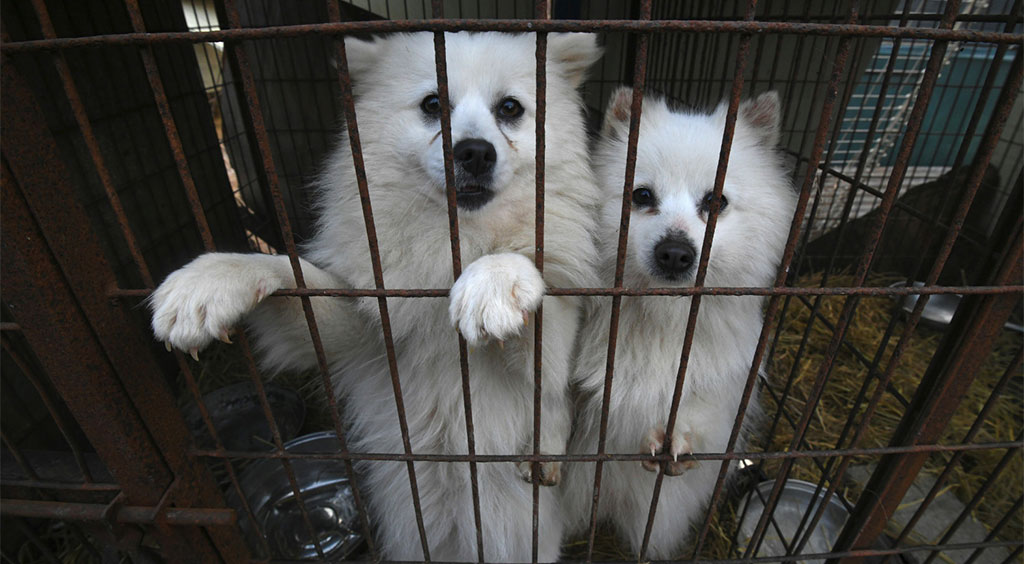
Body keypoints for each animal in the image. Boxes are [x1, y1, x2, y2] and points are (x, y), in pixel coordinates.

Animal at [149, 33, 602, 560]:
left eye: (510, 108)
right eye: (432, 104)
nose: (474, 152)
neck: (457, 241)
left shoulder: (554, 353)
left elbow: (532, 299)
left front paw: (493, 278)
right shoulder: (361, 329)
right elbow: (289, 271)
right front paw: (210, 279)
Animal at [561, 87, 790, 556]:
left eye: (715, 202)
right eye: (642, 196)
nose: (675, 253)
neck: (663, 318)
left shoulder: (720, 385)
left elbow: (698, 413)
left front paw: (675, 438)